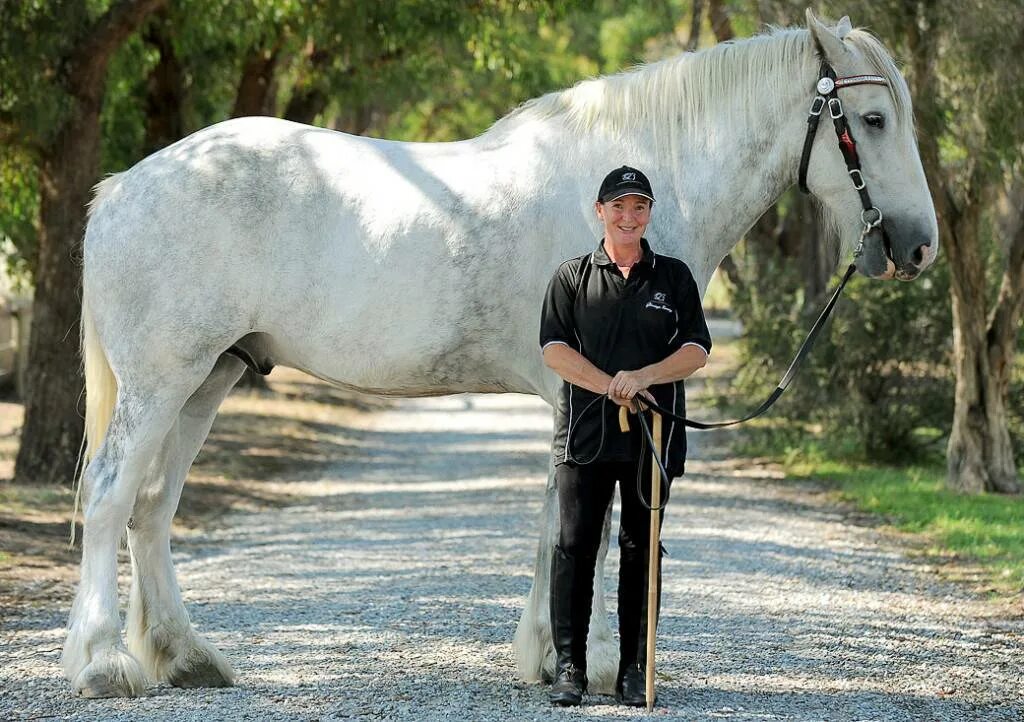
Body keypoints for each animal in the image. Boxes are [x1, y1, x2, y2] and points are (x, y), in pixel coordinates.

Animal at [66, 11, 937, 696]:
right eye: (875, 120)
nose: (919, 246)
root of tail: (125, 186)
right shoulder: (587, 394)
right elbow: (581, 522)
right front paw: (582, 661)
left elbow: (563, 518)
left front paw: (551, 655)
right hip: (162, 380)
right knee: (110, 497)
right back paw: (101, 665)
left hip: (207, 378)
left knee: (152, 509)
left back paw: (186, 658)